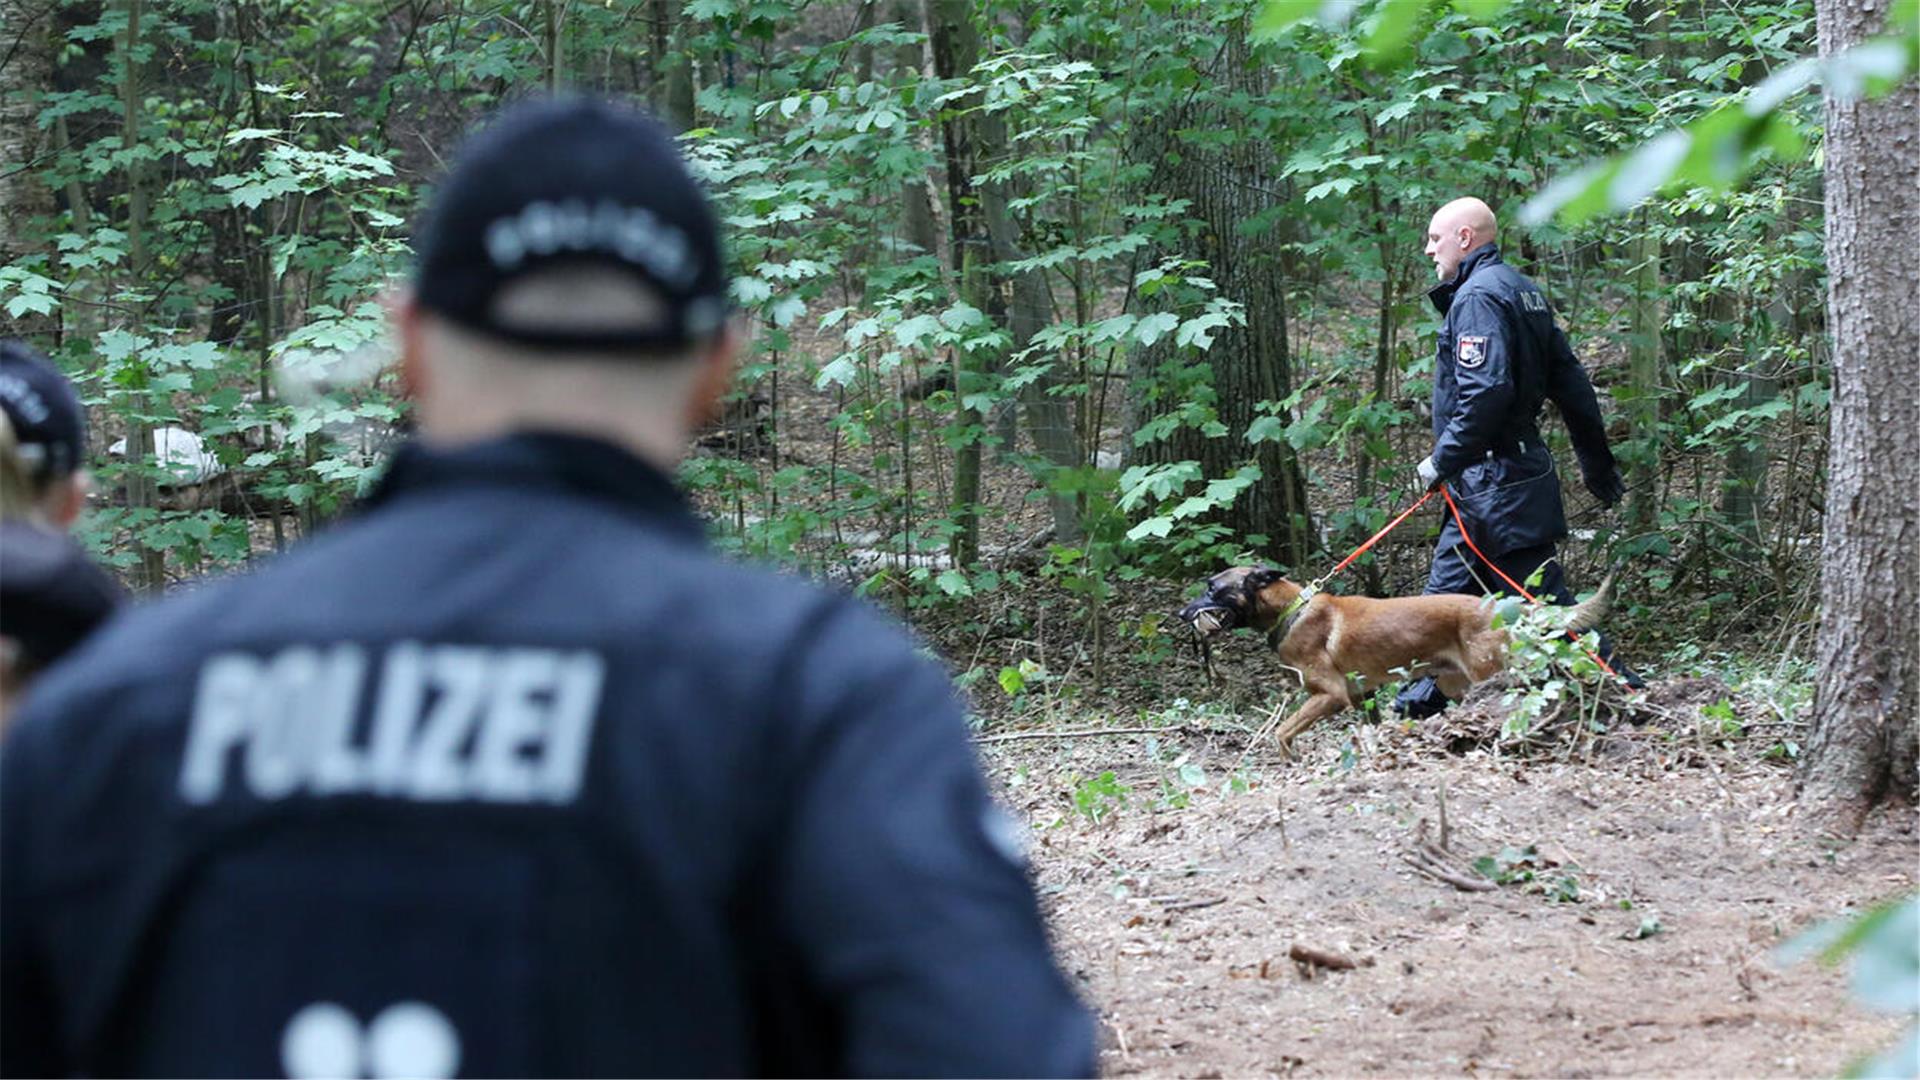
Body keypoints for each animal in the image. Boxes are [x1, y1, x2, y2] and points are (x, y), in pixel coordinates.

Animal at [1175, 564, 1612, 749]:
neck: (1291, 610)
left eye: (1212, 588)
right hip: (1456, 683)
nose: (1180, 614)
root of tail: (1502, 607)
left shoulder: (1329, 696)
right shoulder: (1360, 697)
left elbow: (1282, 732)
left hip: (1487, 677)